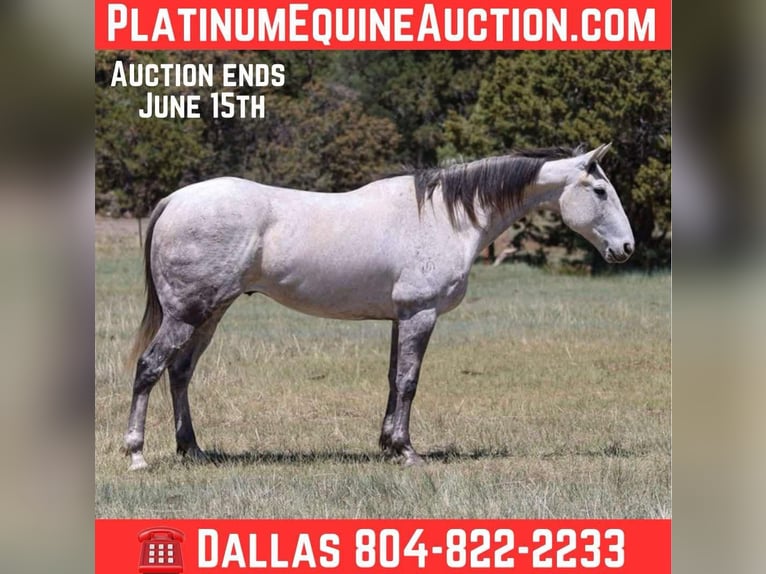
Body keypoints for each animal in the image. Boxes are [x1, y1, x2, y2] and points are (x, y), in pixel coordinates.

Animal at [123, 143, 634, 470]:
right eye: (601, 191)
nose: (626, 247)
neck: (445, 216)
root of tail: (174, 200)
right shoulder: (420, 314)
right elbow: (409, 382)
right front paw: (407, 451)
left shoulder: (399, 318)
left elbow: (393, 379)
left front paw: (388, 444)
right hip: (187, 313)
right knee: (150, 367)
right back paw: (136, 453)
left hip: (210, 313)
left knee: (180, 372)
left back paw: (192, 450)